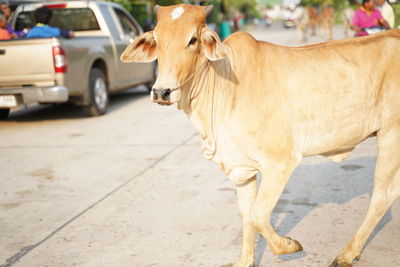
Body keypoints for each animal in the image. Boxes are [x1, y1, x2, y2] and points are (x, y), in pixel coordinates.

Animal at [121, 4, 400, 267]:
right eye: (157, 39)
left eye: (192, 40)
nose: (161, 92)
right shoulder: (241, 169)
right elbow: (247, 216)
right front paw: (245, 261)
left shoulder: (281, 162)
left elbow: (257, 216)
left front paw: (289, 245)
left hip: (391, 135)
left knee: (382, 196)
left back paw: (346, 254)